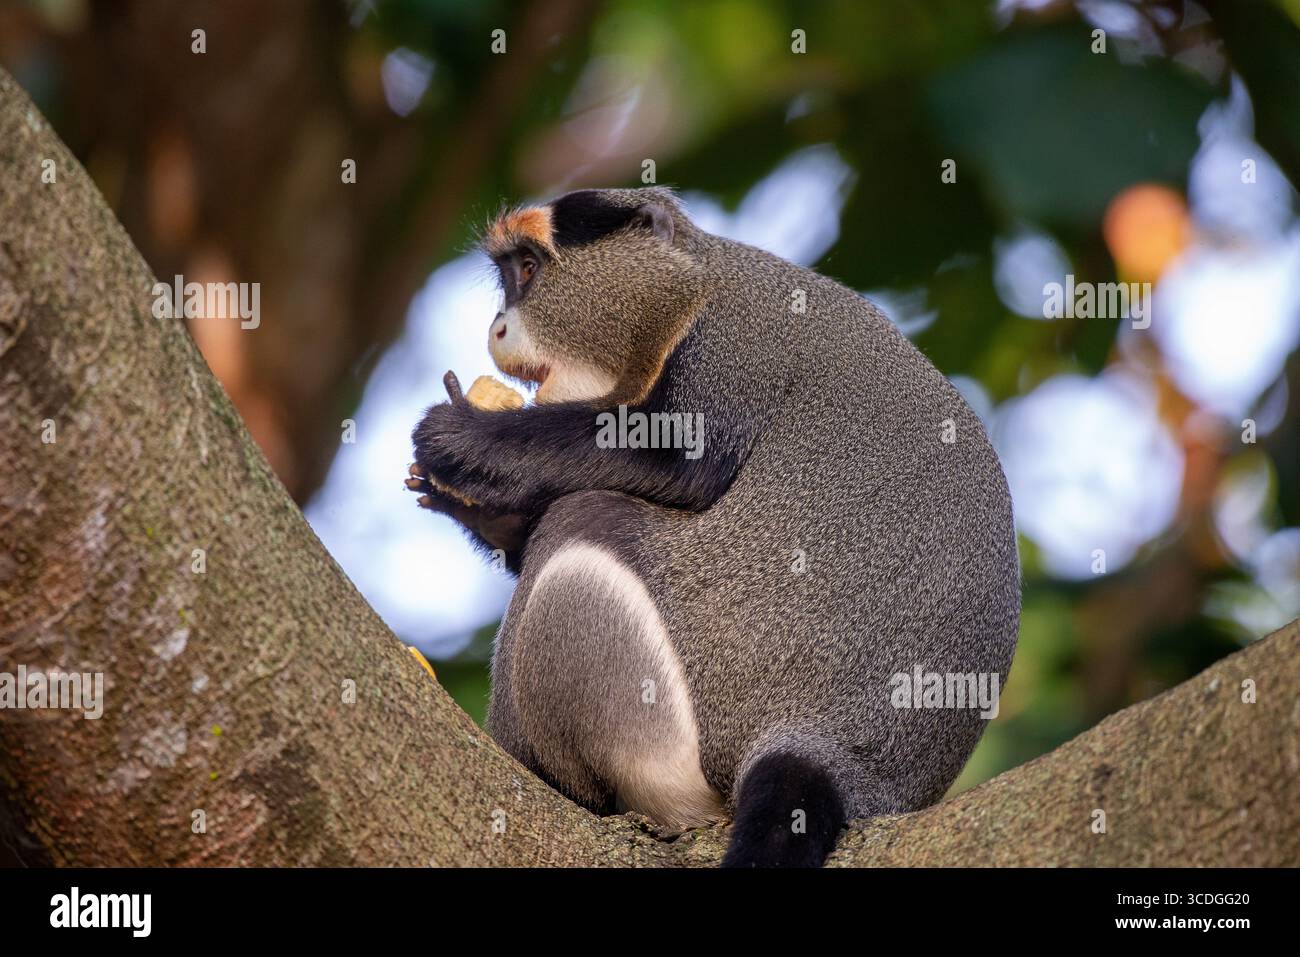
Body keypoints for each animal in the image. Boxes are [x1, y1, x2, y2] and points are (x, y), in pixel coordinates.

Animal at [407, 186, 1020, 867]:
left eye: (530, 269)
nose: (496, 327)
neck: (690, 288)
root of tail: (839, 758)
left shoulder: (728, 347)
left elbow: (677, 464)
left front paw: (465, 440)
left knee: (580, 528)